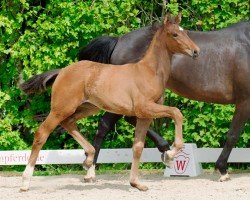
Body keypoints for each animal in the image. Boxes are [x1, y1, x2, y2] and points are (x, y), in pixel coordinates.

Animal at [20, 21, 249, 181]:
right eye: (175, 34)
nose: (195, 52)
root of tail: (119, 40)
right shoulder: (245, 100)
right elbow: (233, 135)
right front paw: (222, 170)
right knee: (107, 124)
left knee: (115, 122)